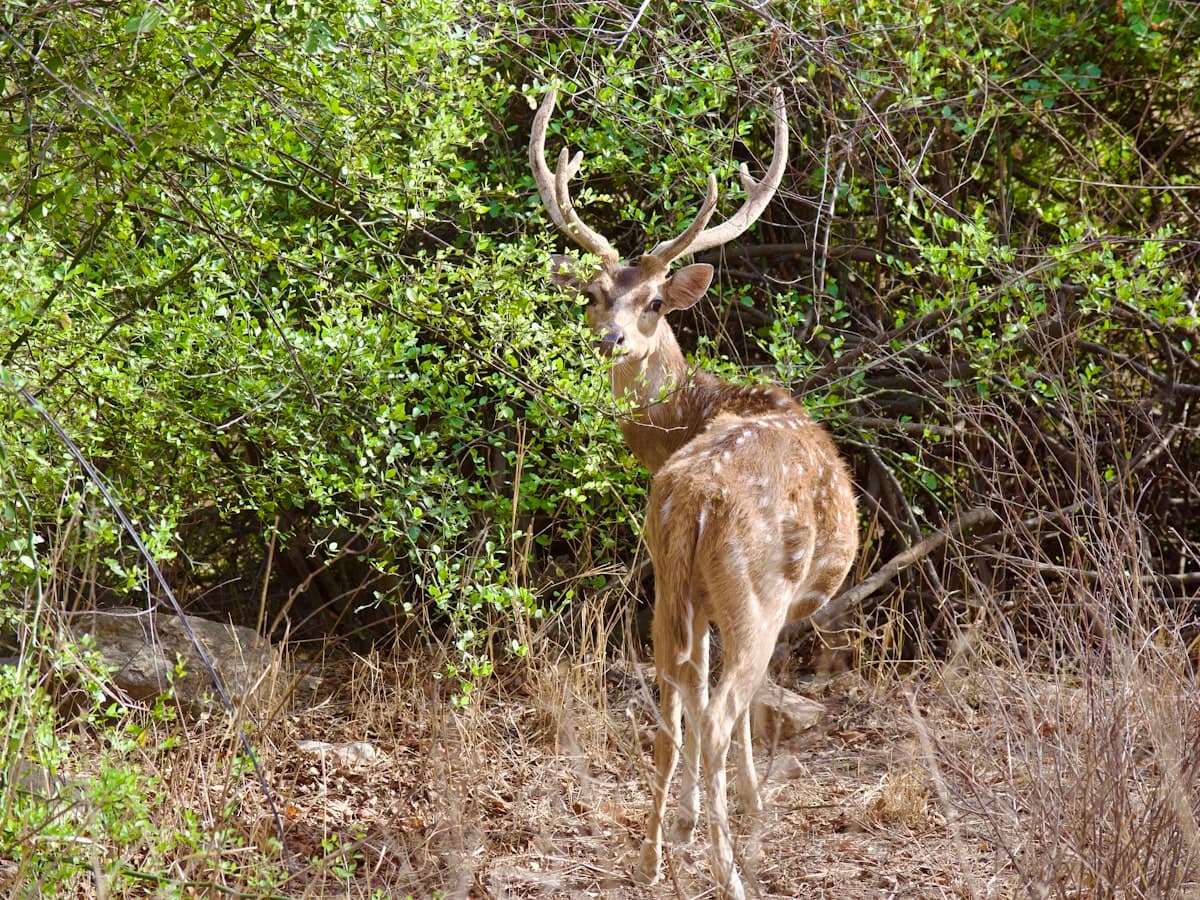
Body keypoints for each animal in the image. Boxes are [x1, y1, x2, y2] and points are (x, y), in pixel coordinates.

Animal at [530, 86, 859, 900]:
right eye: (594, 295)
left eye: (652, 301)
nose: (611, 338)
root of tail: (698, 497)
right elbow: (743, 715)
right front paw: (752, 806)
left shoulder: (695, 604)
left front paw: (683, 823)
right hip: (756, 592)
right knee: (715, 713)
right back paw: (730, 870)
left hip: (668, 583)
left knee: (670, 706)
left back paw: (651, 859)